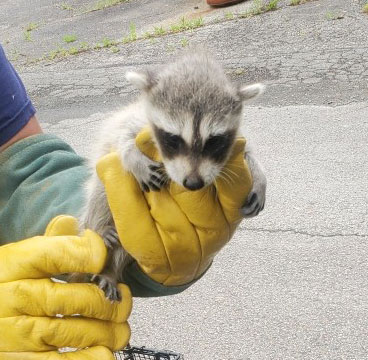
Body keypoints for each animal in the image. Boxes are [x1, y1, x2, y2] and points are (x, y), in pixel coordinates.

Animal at [77, 50, 268, 300]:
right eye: (173, 138)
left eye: (214, 141)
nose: (193, 182)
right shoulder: (137, 121)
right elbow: (121, 138)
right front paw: (132, 156)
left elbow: (247, 151)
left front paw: (260, 176)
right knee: (99, 194)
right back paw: (98, 230)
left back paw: (110, 271)